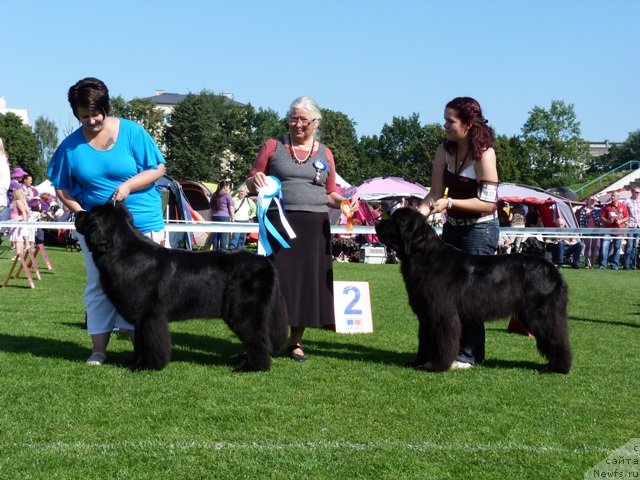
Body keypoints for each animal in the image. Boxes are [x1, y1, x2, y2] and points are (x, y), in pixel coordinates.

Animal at [73, 202, 290, 372]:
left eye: (90, 213)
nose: (77, 213)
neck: (122, 252)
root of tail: (265, 262)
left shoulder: (150, 316)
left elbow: (151, 342)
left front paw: (147, 366)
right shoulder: (141, 318)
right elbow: (140, 342)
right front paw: (135, 362)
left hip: (243, 312)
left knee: (258, 339)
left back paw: (253, 367)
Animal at [372, 208, 572, 374]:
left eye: (395, 221)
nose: (377, 222)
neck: (422, 256)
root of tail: (552, 268)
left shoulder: (442, 314)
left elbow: (441, 342)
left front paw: (435, 366)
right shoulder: (427, 315)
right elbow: (425, 341)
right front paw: (418, 362)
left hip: (540, 313)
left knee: (557, 337)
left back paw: (557, 368)